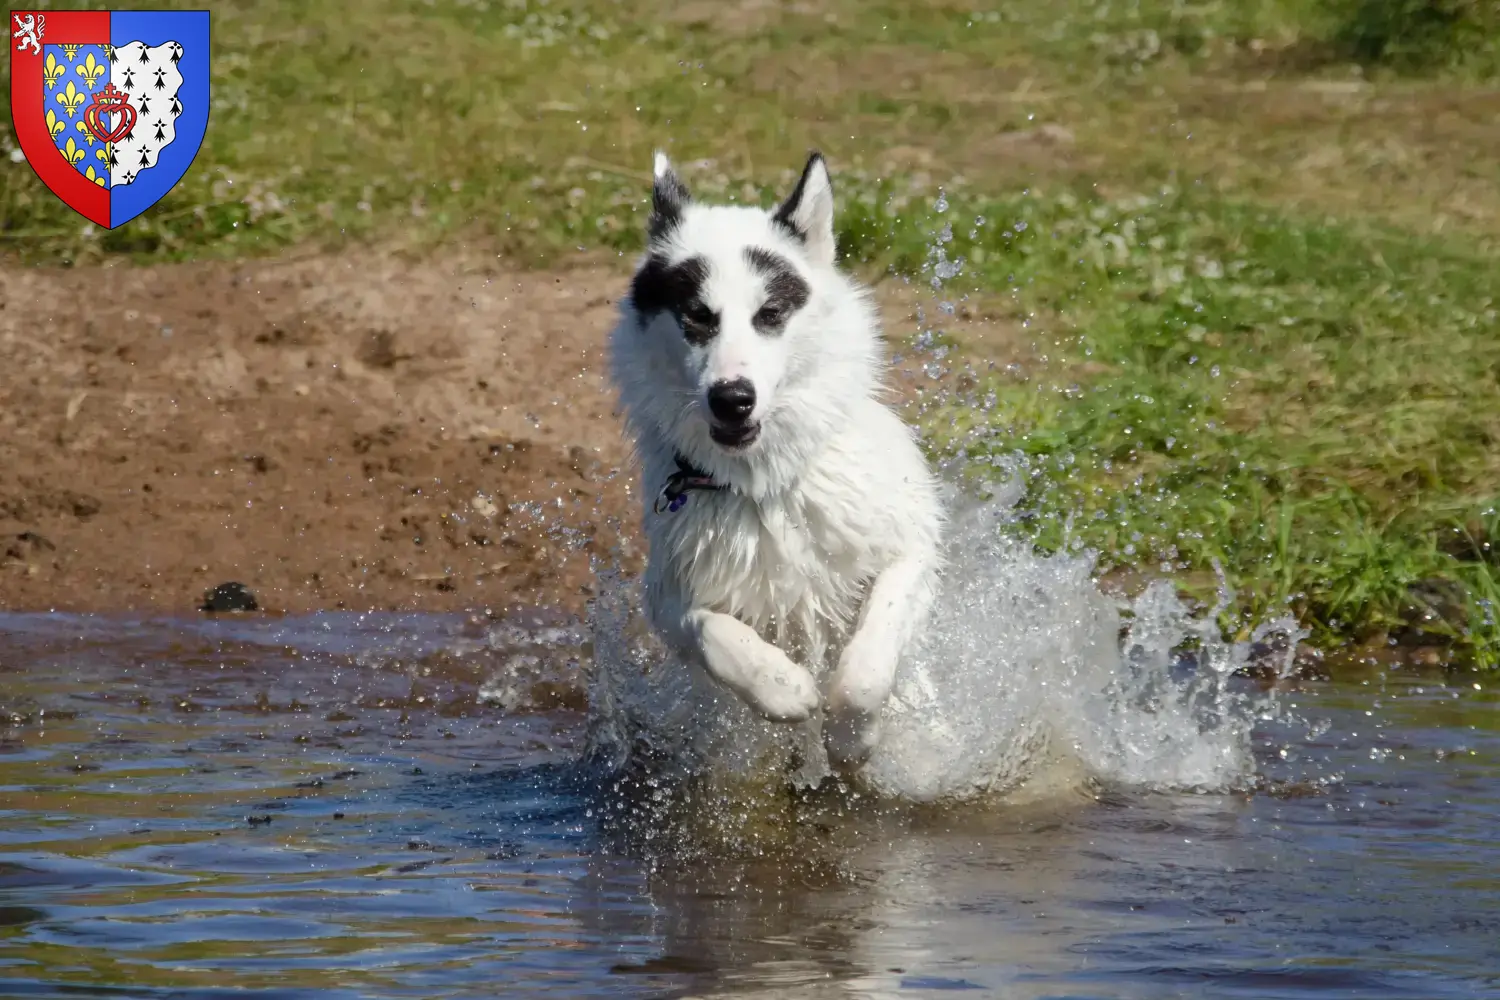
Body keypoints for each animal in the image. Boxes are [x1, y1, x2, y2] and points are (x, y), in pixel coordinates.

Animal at [606, 152, 936, 773]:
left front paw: (852, 736)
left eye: (771, 313)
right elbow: (711, 631)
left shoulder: (913, 548)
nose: (732, 399)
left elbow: (867, 666)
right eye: (697, 315)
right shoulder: (665, 595)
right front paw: (782, 687)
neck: (762, 484)